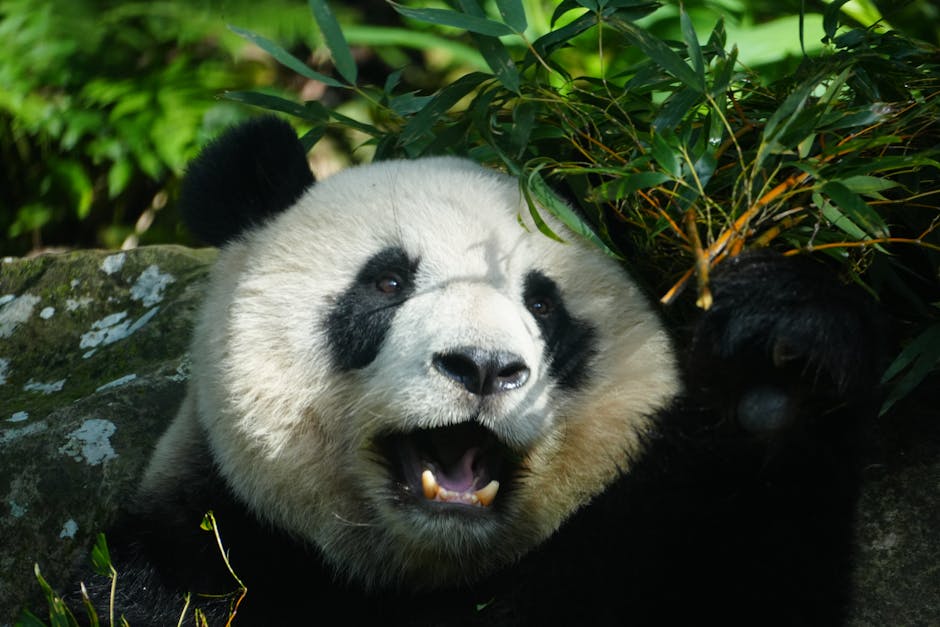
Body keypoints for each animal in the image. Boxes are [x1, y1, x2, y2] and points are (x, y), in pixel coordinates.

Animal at [80, 116, 883, 626]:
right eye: (388, 282)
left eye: (542, 302)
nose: (485, 367)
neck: (423, 567)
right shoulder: (196, 559)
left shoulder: (637, 545)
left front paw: (777, 359)